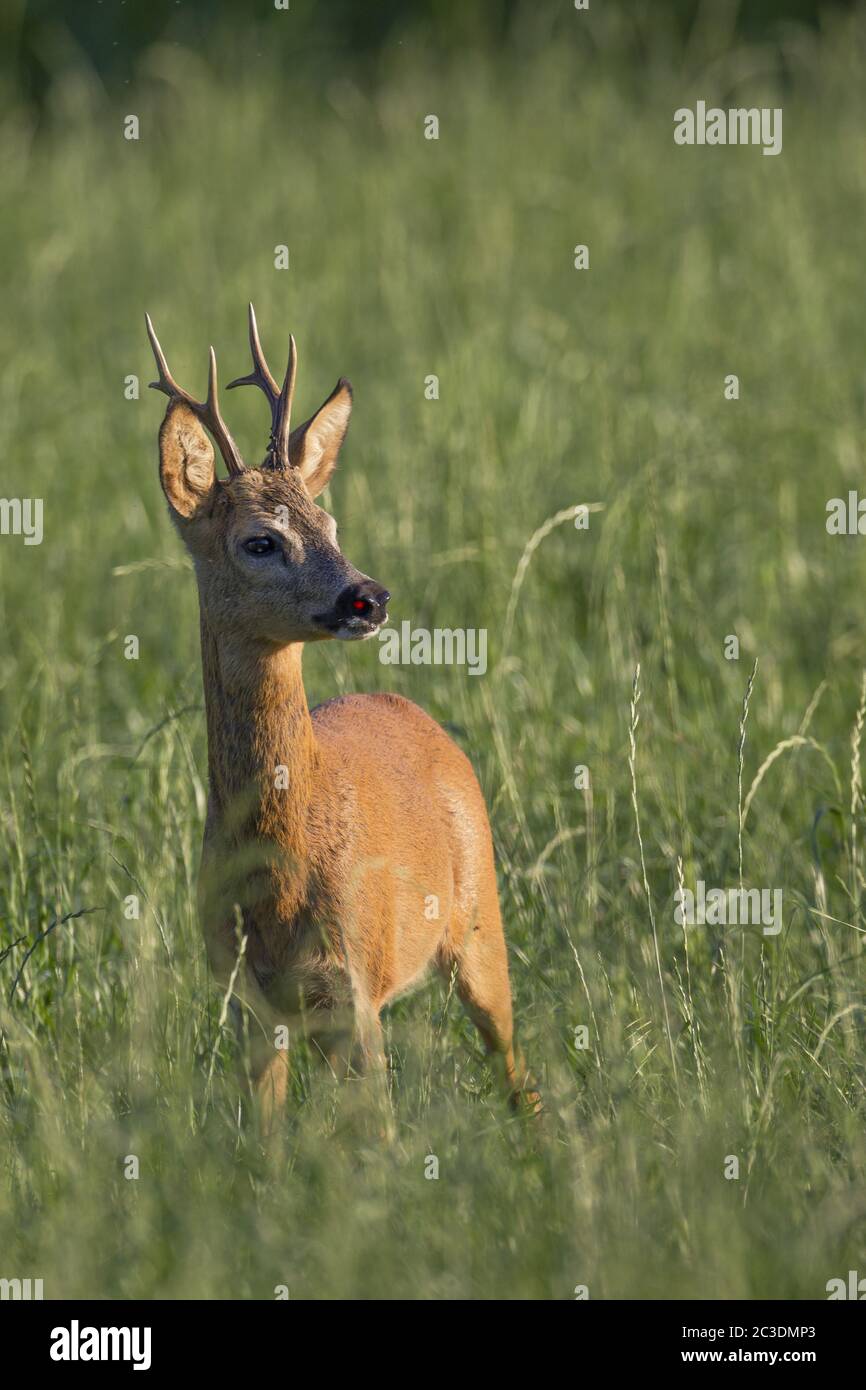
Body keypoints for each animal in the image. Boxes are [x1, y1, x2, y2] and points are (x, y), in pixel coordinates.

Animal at [148, 304, 539, 1128]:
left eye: (329, 522)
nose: (370, 596)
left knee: (514, 1062)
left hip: (481, 921)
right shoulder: (249, 1004)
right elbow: (262, 1137)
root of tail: (408, 708)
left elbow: (380, 1137)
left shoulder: (353, 988)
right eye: (260, 540)